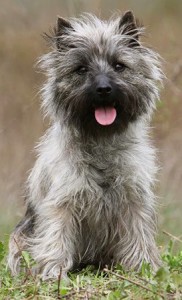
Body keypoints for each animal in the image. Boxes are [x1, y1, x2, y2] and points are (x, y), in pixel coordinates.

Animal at [7, 11, 163, 278]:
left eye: (119, 65)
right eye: (81, 69)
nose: (103, 89)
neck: (101, 143)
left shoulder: (133, 200)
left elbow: (138, 233)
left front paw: (142, 266)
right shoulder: (63, 201)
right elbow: (56, 235)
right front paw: (53, 271)